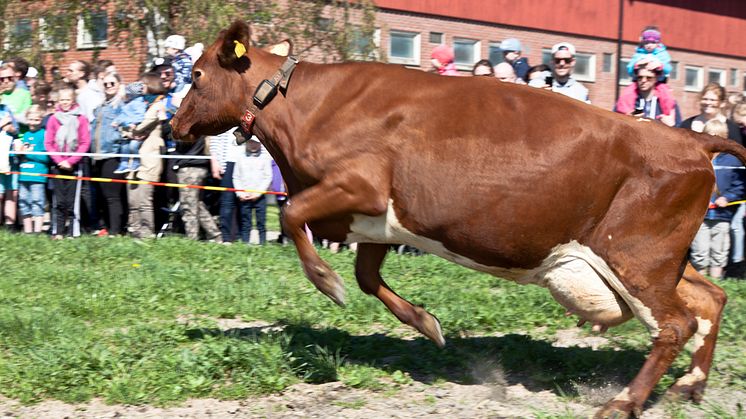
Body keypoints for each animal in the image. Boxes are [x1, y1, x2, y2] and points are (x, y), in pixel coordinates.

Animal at [173, 20, 740, 419]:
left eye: (196, 75)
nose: (174, 124)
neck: (301, 105)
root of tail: (692, 139)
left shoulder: (358, 186)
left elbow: (293, 217)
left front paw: (327, 284)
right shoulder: (379, 219)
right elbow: (367, 275)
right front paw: (428, 324)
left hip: (636, 257)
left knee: (676, 323)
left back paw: (623, 402)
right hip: (654, 259)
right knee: (709, 298)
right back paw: (689, 386)